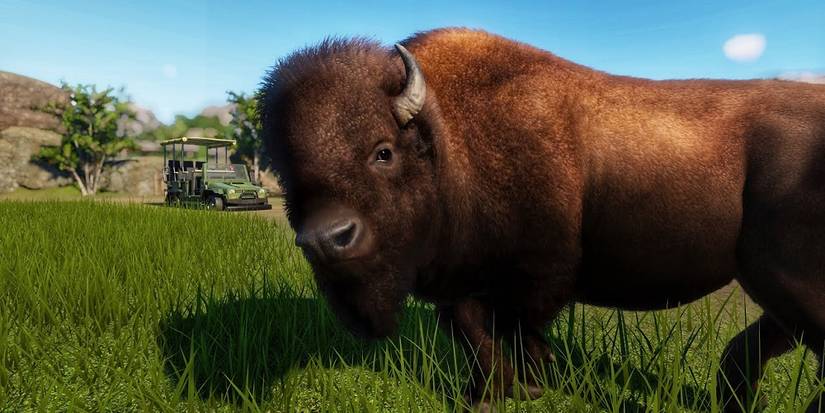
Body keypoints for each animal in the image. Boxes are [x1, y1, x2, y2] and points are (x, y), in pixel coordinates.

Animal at [259, 28, 825, 411]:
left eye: (383, 152)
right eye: (288, 173)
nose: (327, 240)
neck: (449, 135)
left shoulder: (537, 273)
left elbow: (513, 327)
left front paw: (530, 384)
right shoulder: (464, 281)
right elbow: (472, 331)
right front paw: (490, 394)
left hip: (786, 280)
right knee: (758, 345)